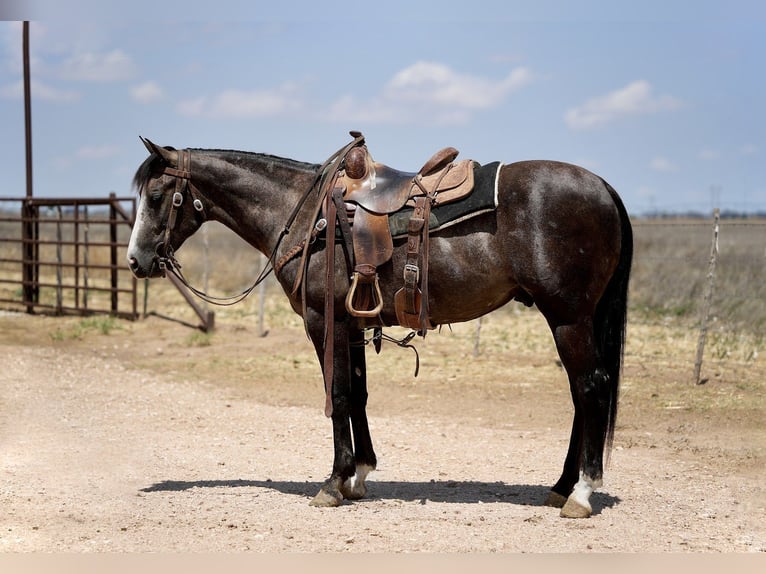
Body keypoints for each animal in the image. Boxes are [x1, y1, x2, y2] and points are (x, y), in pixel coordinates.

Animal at [127, 134, 632, 518]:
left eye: (156, 196)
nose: (135, 261)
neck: (304, 213)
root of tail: (603, 186)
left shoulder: (323, 322)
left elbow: (337, 396)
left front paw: (333, 482)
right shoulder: (352, 324)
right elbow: (358, 394)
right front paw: (360, 474)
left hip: (568, 318)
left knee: (590, 388)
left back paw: (581, 494)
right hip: (573, 319)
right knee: (582, 394)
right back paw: (561, 486)